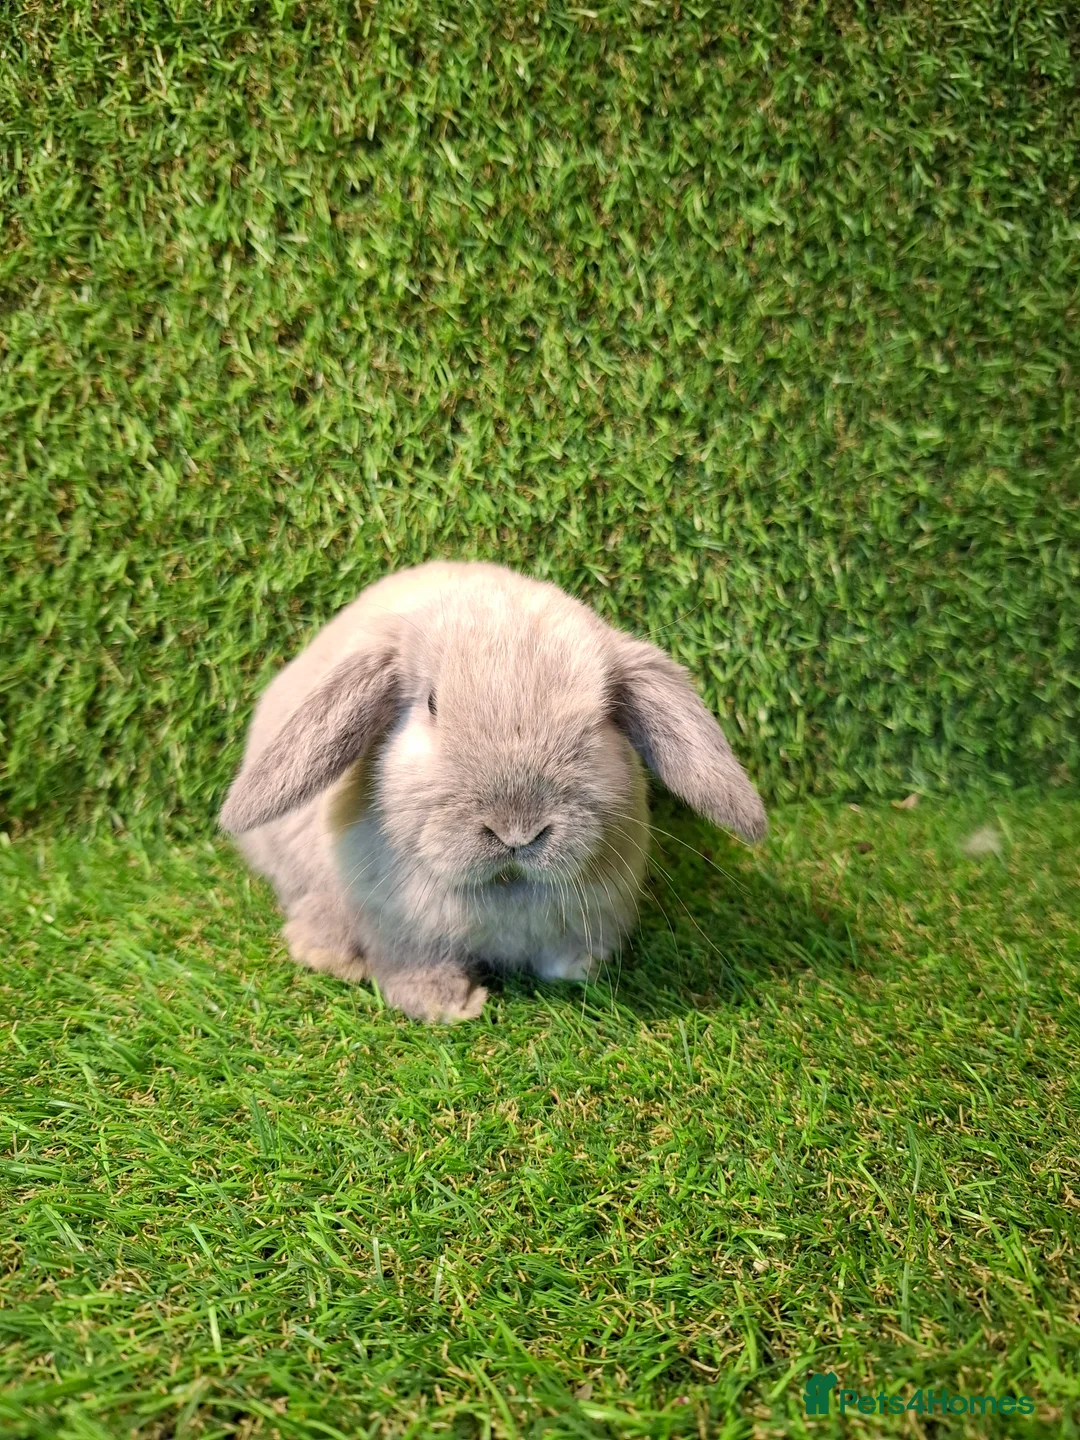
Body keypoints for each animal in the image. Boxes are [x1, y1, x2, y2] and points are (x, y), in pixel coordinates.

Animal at [218, 560, 766, 1023]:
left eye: (602, 716)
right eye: (432, 705)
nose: (517, 831)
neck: (504, 889)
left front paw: (580, 970)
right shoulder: (399, 931)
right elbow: (411, 970)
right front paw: (450, 1007)